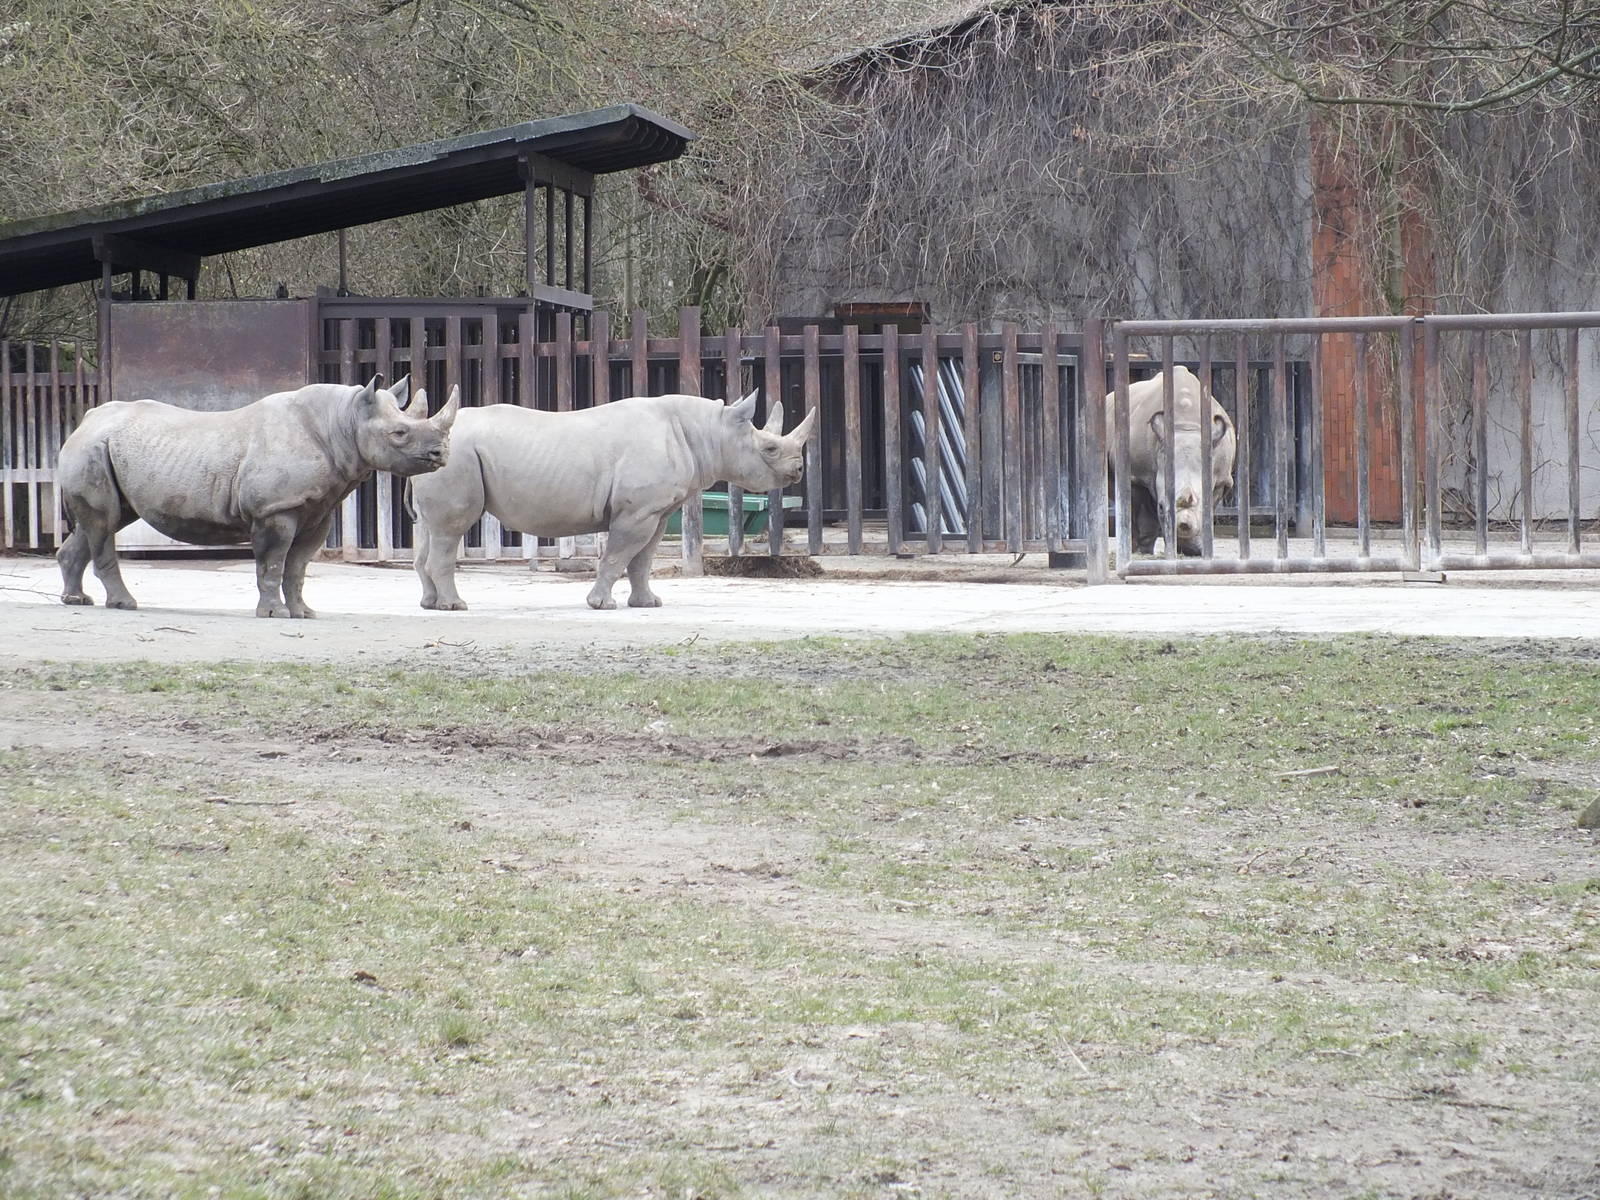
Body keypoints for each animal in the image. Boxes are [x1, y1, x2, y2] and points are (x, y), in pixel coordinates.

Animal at [56, 376, 460, 617]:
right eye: (400, 433)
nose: (441, 453)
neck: (343, 422)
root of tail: (83, 421)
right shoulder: (274, 509)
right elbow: (272, 563)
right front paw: (274, 614)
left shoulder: (316, 509)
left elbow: (297, 567)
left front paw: (303, 613)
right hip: (92, 448)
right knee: (104, 523)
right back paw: (124, 605)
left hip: (104, 448)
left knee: (104, 521)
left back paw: (76, 600)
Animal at [409, 391, 817, 611]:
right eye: (770, 449)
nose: (798, 470)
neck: (709, 431)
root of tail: (430, 432)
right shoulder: (636, 512)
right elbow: (619, 555)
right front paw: (601, 605)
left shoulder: (657, 511)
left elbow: (643, 560)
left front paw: (647, 604)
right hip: (458, 458)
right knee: (451, 530)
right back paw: (455, 606)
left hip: (440, 458)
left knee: (431, 530)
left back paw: (430, 604)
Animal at [1105, 365, 1237, 555]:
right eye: (1161, 507)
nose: (1184, 527)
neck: (1186, 426)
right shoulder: (1137, 475)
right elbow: (1143, 515)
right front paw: (1143, 551)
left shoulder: (1221, 479)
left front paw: (1196, 549)